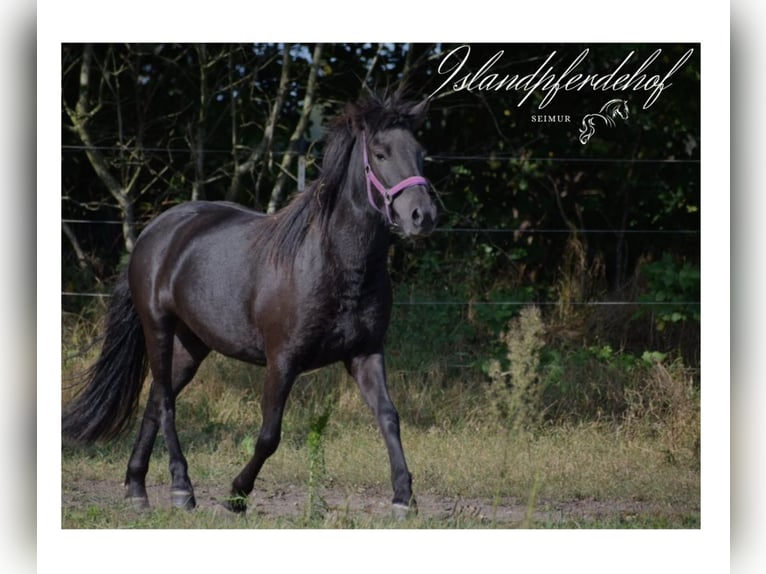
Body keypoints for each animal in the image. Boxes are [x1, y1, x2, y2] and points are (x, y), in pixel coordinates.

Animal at [62, 95, 438, 517]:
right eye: (380, 153)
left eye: (421, 153)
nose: (423, 216)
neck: (334, 264)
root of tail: (154, 231)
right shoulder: (283, 360)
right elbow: (269, 435)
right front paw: (236, 495)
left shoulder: (366, 353)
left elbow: (389, 417)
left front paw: (404, 498)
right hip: (157, 327)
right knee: (166, 404)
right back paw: (181, 489)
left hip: (192, 344)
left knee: (157, 397)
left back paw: (137, 488)